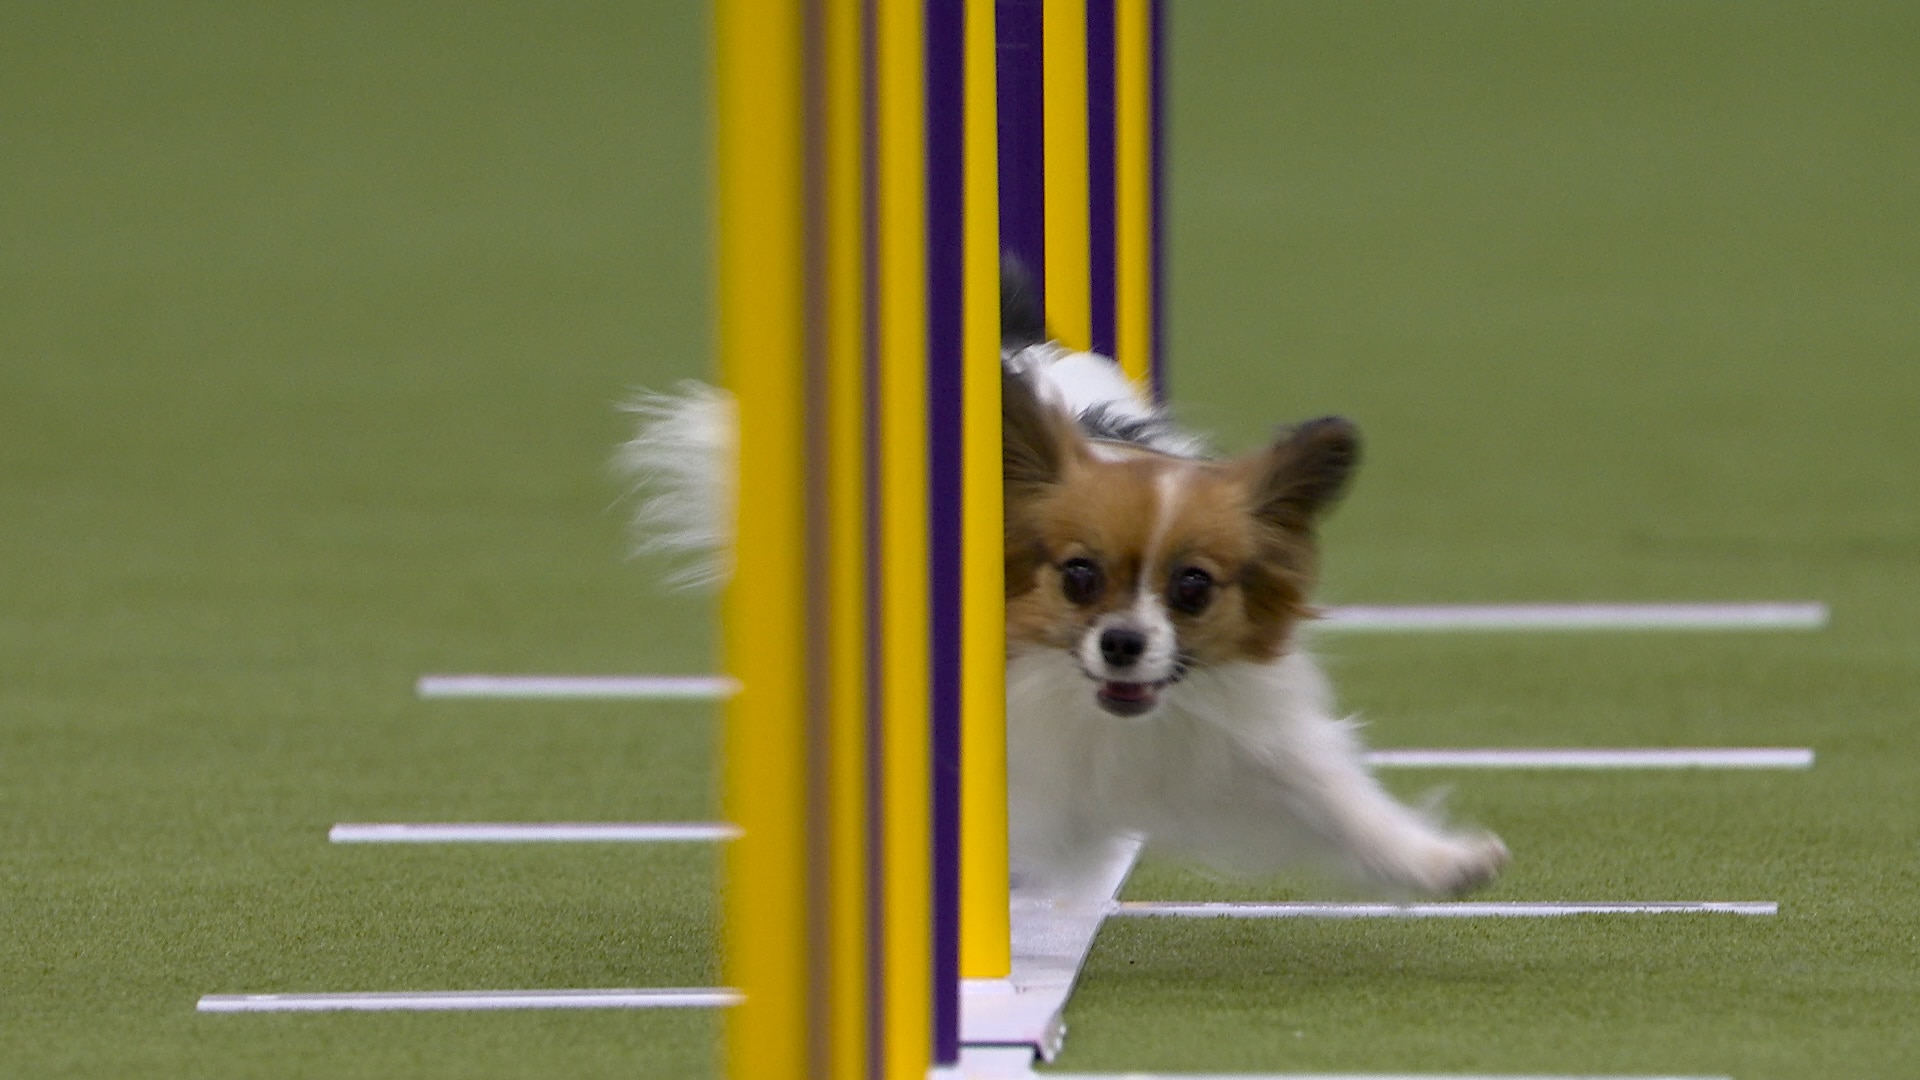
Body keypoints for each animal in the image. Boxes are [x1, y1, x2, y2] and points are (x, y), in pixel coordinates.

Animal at [622, 270, 1505, 899]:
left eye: (1192, 588)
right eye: (1079, 575)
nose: (1122, 644)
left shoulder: (1243, 738)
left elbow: (1337, 796)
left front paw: (1438, 861)